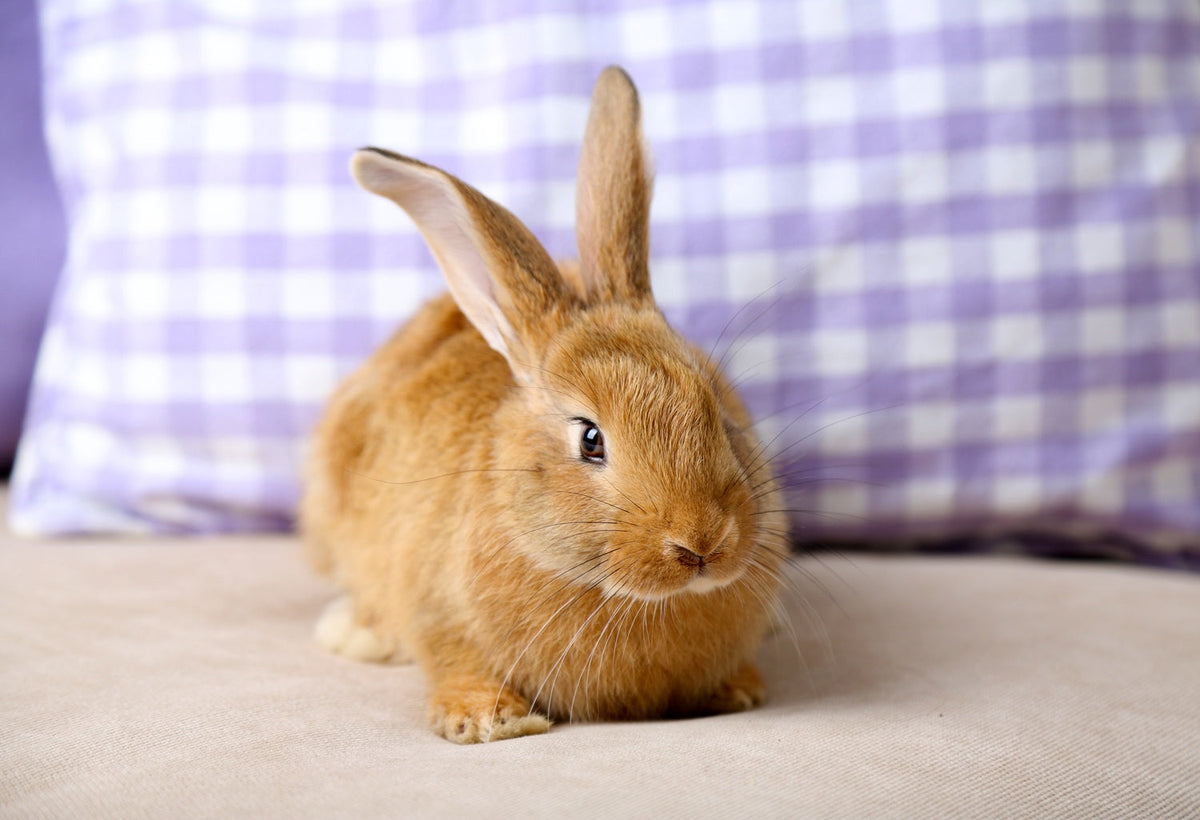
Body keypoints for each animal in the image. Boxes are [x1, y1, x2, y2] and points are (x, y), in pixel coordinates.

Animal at [300, 66, 789, 743]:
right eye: (590, 439)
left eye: (719, 411)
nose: (702, 544)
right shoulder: (437, 610)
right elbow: (454, 660)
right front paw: (487, 721)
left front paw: (738, 690)